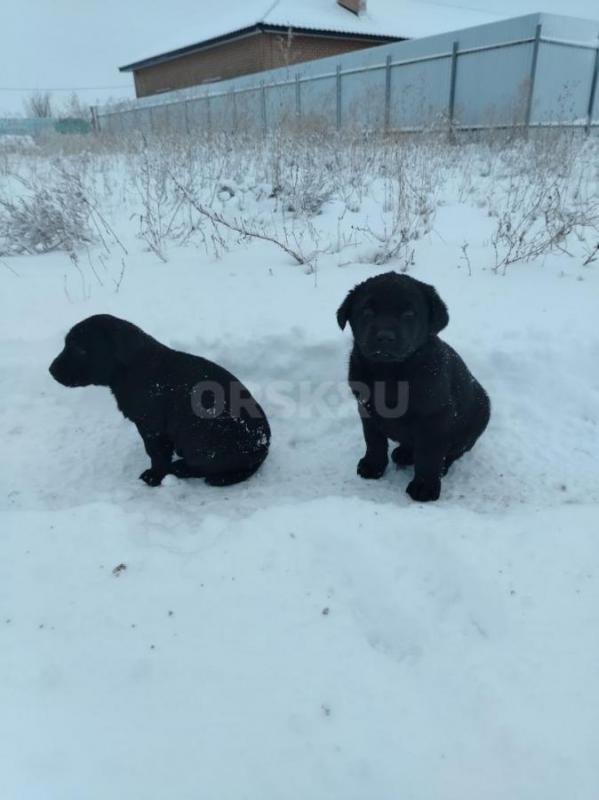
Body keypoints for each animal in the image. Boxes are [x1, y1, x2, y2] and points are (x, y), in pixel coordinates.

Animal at [49, 316, 270, 484]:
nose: (51, 370)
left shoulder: (152, 428)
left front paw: (154, 476)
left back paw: (181, 468)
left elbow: (156, 454)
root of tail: (263, 449)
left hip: (206, 445)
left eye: (79, 349)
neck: (130, 367)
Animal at [338, 272, 492, 504]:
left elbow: (429, 454)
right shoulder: (366, 408)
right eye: (367, 311)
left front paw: (424, 487)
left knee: (453, 451)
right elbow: (373, 440)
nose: (385, 337)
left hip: (479, 415)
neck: (389, 373)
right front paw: (373, 466)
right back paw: (404, 453)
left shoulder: (436, 417)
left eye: (409, 313)